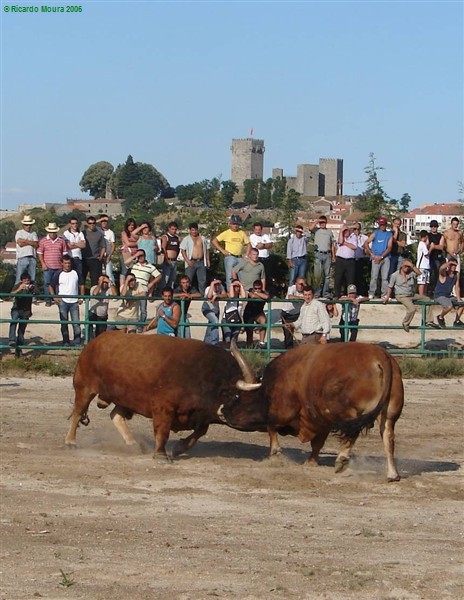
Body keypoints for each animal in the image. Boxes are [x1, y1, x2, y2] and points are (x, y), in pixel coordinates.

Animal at [63, 332, 258, 460]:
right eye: (234, 394)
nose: (246, 423)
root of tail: (93, 343)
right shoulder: (163, 407)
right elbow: (162, 430)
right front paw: (161, 454)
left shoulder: (202, 416)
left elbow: (199, 432)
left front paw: (178, 448)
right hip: (84, 388)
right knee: (77, 413)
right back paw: (70, 442)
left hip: (126, 399)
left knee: (115, 415)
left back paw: (133, 444)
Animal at [219, 342, 404, 482]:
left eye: (238, 395)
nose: (222, 410)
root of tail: (380, 356)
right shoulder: (320, 420)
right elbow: (317, 443)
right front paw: (311, 461)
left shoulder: (283, 410)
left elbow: (271, 427)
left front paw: (275, 453)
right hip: (388, 414)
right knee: (388, 437)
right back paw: (392, 473)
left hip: (349, 413)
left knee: (353, 433)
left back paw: (342, 459)